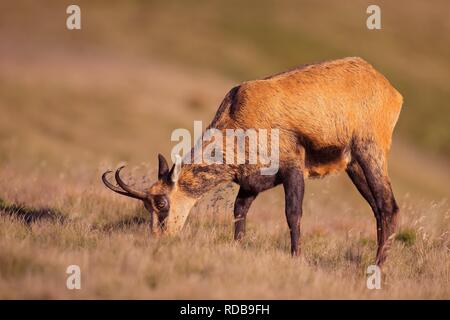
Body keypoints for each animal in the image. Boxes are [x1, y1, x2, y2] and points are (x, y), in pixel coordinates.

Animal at [103, 57, 402, 264]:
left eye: (162, 204)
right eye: (147, 207)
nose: (159, 240)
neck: (240, 115)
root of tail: (390, 90)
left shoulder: (293, 167)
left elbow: (293, 213)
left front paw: (296, 258)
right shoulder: (250, 182)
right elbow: (239, 211)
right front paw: (237, 247)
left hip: (370, 151)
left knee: (389, 206)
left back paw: (378, 267)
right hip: (353, 166)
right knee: (378, 209)